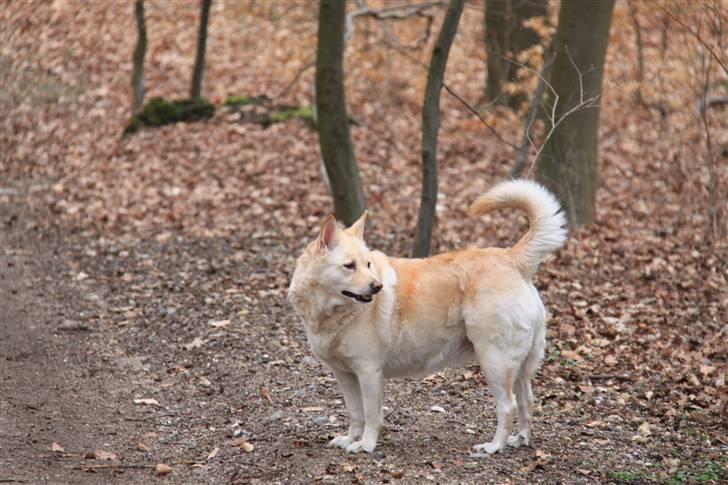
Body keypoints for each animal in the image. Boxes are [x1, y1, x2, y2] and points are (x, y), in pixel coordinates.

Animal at [288, 180, 564, 452]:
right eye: (349, 266)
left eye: (367, 265)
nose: (377, 287)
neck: (333, 312)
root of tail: (511, 258)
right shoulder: (344, 375)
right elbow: (355, 413)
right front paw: (349, 439)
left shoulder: (368, 372)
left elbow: (371, 415)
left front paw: (365, 445)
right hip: (520, 367)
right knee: (527, 402)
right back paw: (520, 439)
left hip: (495, 362)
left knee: (508, 406)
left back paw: (495, 446)